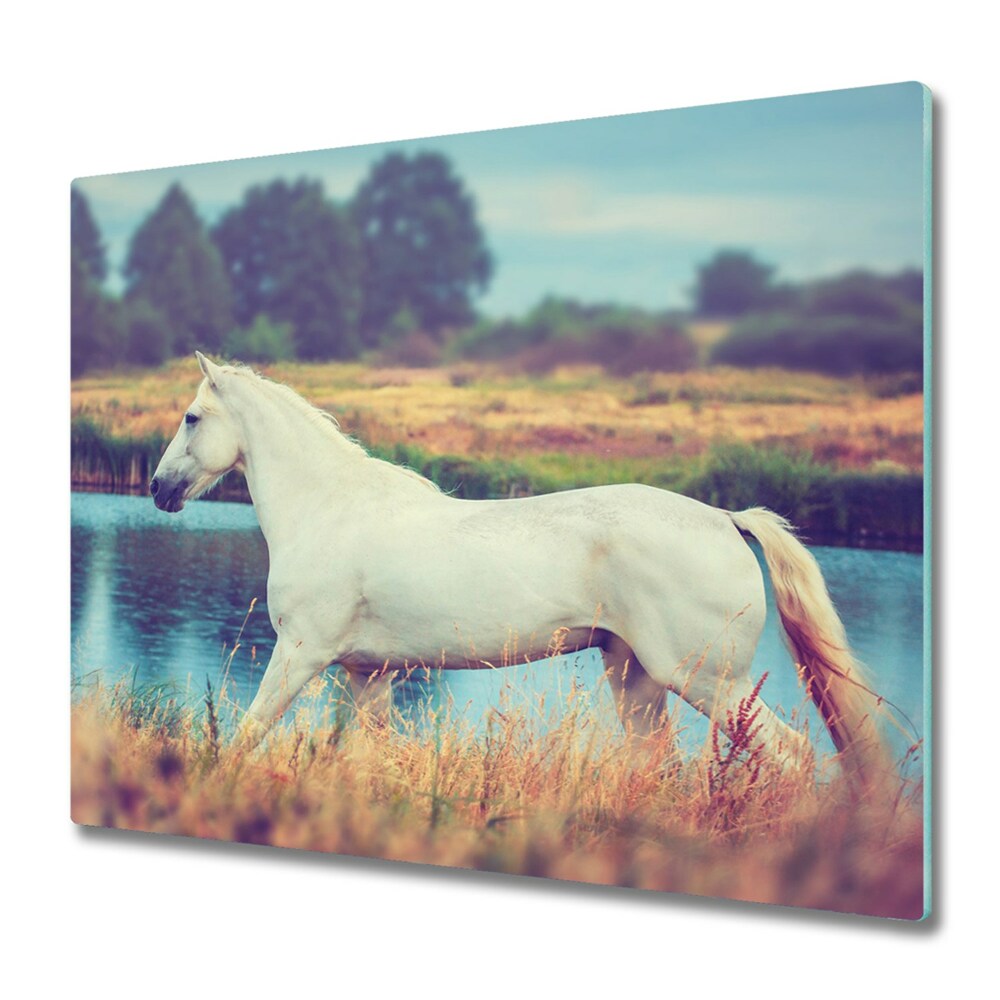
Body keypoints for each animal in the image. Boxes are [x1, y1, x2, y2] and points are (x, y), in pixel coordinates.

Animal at [150, 352, 891, 788]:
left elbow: (245, 737)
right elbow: (360, 755)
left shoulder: (300, 654)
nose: (158, 489)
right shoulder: (368, 675)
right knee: (654, 763)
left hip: (708, 680)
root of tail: (727, 519)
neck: (329, 508)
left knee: (791, 754)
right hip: (636, 677)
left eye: (191, 418)